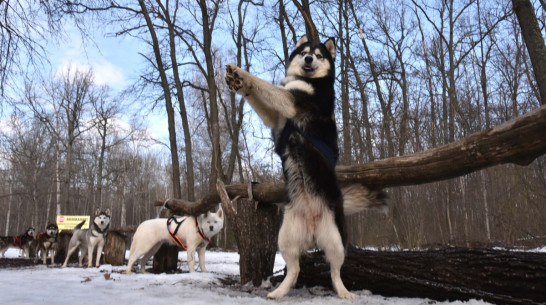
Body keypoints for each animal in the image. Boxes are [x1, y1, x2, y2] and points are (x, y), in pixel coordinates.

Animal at [223, 35, 384, 296]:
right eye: (304, 52)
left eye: (318, 56)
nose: (309, 59)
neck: (310, 81)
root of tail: (312, 228)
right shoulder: (276, 119)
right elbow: (259, 95)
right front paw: (239, 83)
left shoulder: (292, 102)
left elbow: (266, 84)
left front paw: (242, 73)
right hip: (285, 238)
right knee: (295, 270)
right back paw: (279, 292)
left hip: (337, 241)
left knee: (335, 272)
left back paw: (344, 293)